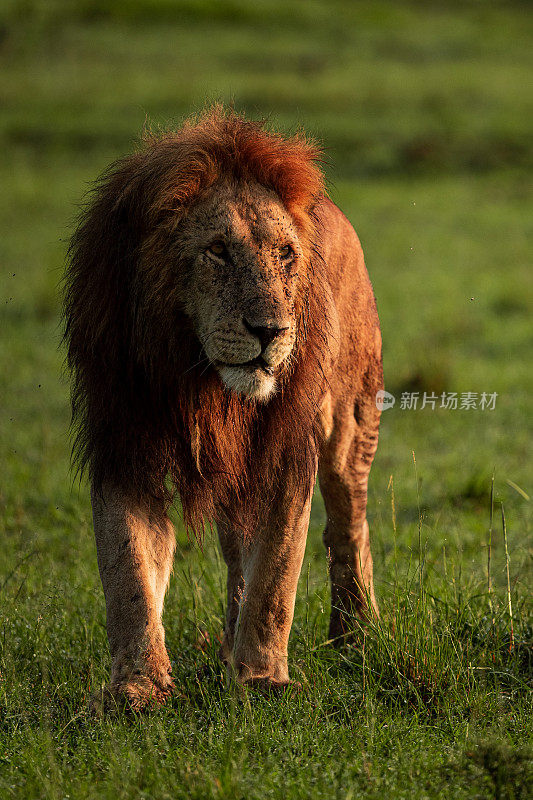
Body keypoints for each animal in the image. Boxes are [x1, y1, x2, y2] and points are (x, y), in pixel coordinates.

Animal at [62, 108, 382, 712]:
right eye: (217, 251)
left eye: (284, 254)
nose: (270, 331)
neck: (200, 378)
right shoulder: (124, 438)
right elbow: (129, 569)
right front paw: (137, 688)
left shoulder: (287, 447)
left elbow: (277, 571)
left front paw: (260, 679)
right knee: (237, 553)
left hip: (353, 420)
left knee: (347, 522)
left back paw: (359, 634)